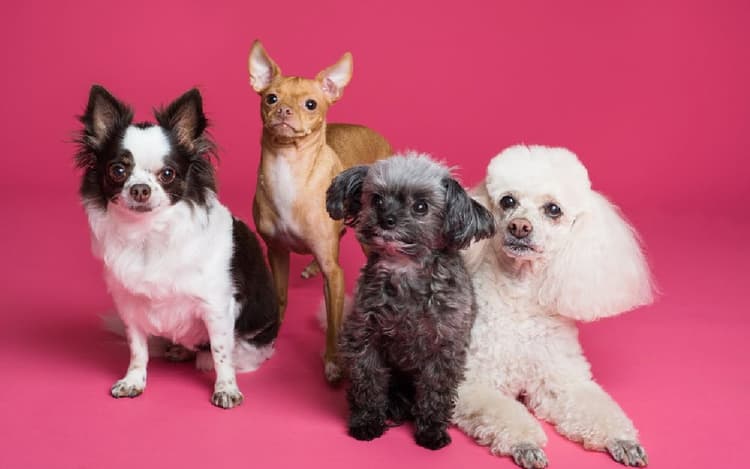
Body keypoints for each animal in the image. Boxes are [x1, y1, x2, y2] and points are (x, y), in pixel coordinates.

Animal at [75, 85, 279, 409]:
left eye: (168, 174)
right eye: (117, 170)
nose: (140, 189)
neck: (149, 233)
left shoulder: (217, 307)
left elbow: (221, 352)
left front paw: (226, 388)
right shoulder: (130, 307)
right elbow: (137, 349)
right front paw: (133, 381)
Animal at [248, 40, 392, 382]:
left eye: (311, 104)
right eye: (271, 98)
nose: (284, 111)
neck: (288, 169)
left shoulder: (334, 274)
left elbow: (334, 321)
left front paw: (332, 362)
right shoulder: (276, 252)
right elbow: (281, 296)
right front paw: (271, 335)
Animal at [326, 153, 496, 449]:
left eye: (420, 206)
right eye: (377, 200)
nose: (387, 219)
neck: (404, 270)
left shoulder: (444, 349)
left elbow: (435, 391)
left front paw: (431, 430)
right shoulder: (363, 338)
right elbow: (367, 382)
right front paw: (367, 421)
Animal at [452, 145, 654, 467]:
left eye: (553, 209)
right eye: (507, 201)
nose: (519, 227)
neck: (519, 295)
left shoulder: (561, 382)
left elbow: (596, 407)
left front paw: (622, 439)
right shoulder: (472, 382)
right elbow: (501, 412)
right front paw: (525, 443)